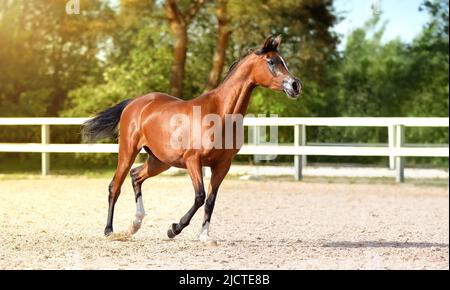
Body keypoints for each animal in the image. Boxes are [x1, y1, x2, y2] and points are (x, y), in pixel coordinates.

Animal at [83, 35, 302, 241]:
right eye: (271, 61)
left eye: (284, 61)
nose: (295, 85)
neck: (220, 113)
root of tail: (134, 103)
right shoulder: (193, 161)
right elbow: (200, 196)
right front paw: (174, 229)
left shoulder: (222, 166)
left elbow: (210, 201)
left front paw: (204, 236)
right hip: (128, 151)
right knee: (115, 186)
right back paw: (109, 230)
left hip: (160, 161)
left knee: (136, 176)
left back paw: (135, 224)